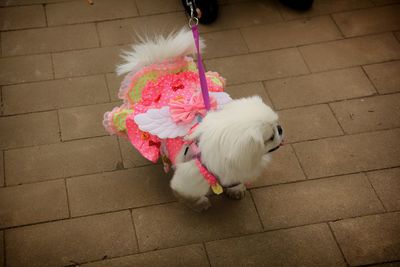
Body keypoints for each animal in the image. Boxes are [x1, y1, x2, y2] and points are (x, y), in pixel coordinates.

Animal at [104, 29, 284, 213]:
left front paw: (236, 190)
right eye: (270, 137)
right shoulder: (187, 182)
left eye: (277, 126)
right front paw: (201, 205)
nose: (280, 129)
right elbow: (190, 197)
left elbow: (236, 182)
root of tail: (162, 68)